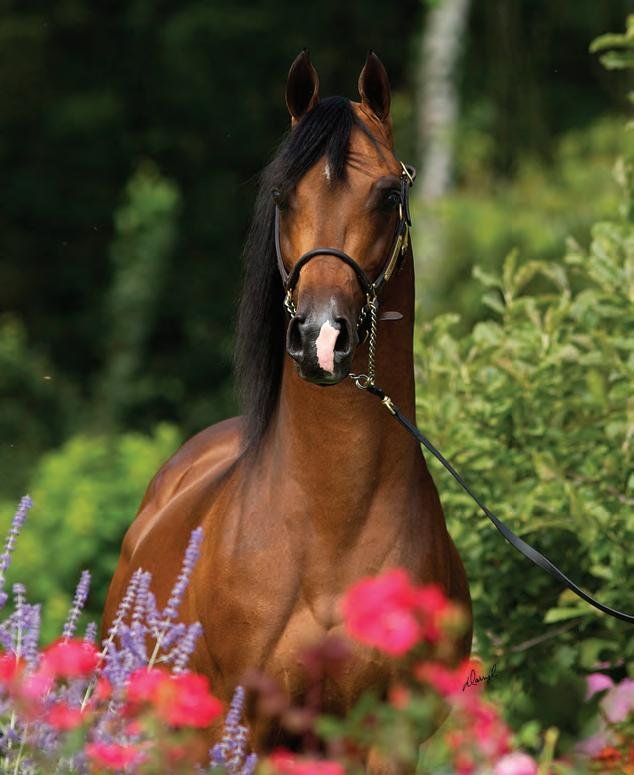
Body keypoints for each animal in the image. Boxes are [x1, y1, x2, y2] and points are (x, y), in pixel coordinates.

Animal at [103, 50, 473, 770]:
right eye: (282, 196)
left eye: (388, 195)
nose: (321, 338)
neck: (330, 525)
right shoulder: (247, 727)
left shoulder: (386, 734)